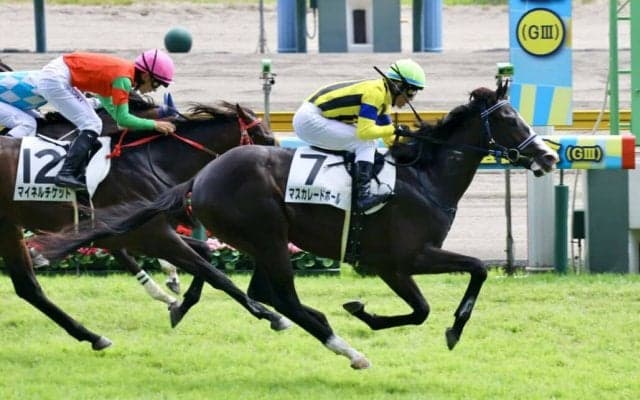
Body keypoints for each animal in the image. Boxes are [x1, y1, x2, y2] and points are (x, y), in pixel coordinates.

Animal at [1, 99, 288, 351]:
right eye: (266, 137)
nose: (282, 172)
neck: (153, 164)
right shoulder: (149, 234)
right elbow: (216, 275)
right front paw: (271, 315)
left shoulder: (137, 233)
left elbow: (205, 254)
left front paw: (179, 302)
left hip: (10, 227)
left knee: (28, 287)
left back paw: (93, 337)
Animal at [36, 82, 559, 368]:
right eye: (510, 119)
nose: (549, 156)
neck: (424, 177)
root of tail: (202, 176)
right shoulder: (402, 259)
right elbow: (464, 279)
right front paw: (380, 316)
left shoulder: (397, 265)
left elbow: (433, 301)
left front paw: (367, 311)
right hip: (267, 235)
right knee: (281, 297)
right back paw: (344, 347)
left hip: (262, 241)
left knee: (257, 289)